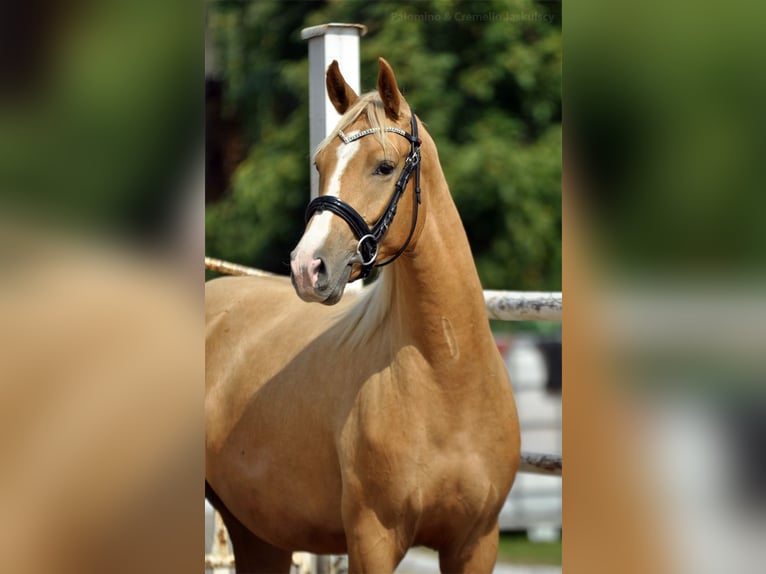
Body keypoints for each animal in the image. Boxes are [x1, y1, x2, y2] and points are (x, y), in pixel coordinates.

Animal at [206, 57, 520, 572]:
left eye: (384, 166)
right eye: (320, 165)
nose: (307, 267)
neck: (447, 375)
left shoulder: (476, 543)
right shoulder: (373, 540)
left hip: (257, 532)